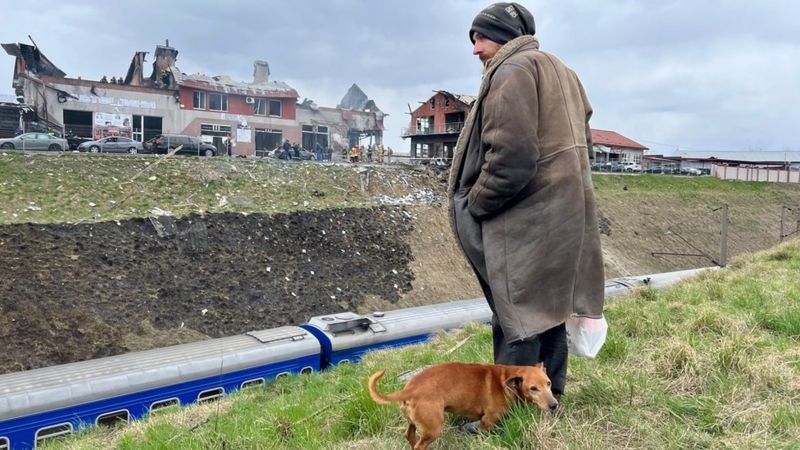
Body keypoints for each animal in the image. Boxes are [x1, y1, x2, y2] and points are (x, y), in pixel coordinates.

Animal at [368, 362, 556, 450]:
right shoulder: (486, 422)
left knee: (410, 436)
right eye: (533, 388)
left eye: (548, 383)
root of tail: (410, 388)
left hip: (414, 423)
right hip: (434, 428)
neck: (506, 380)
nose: (554, 405)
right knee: (419, 445)